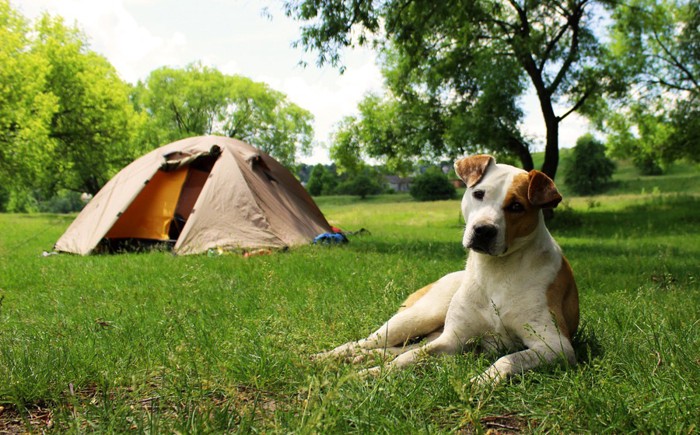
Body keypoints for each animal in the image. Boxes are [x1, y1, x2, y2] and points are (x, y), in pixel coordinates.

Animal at [314, 156, 580, 384]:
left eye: (516, 206)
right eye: (478, 194)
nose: (483, 230)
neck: (495, 270)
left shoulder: (554, 345)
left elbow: (508, 360)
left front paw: (481, 382)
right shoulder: (453, 339)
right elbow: (409, 357)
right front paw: (368, 375)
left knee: (395, 348)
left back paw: (361, 358)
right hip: (419, 316)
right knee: (366, 342)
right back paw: (328, 356)